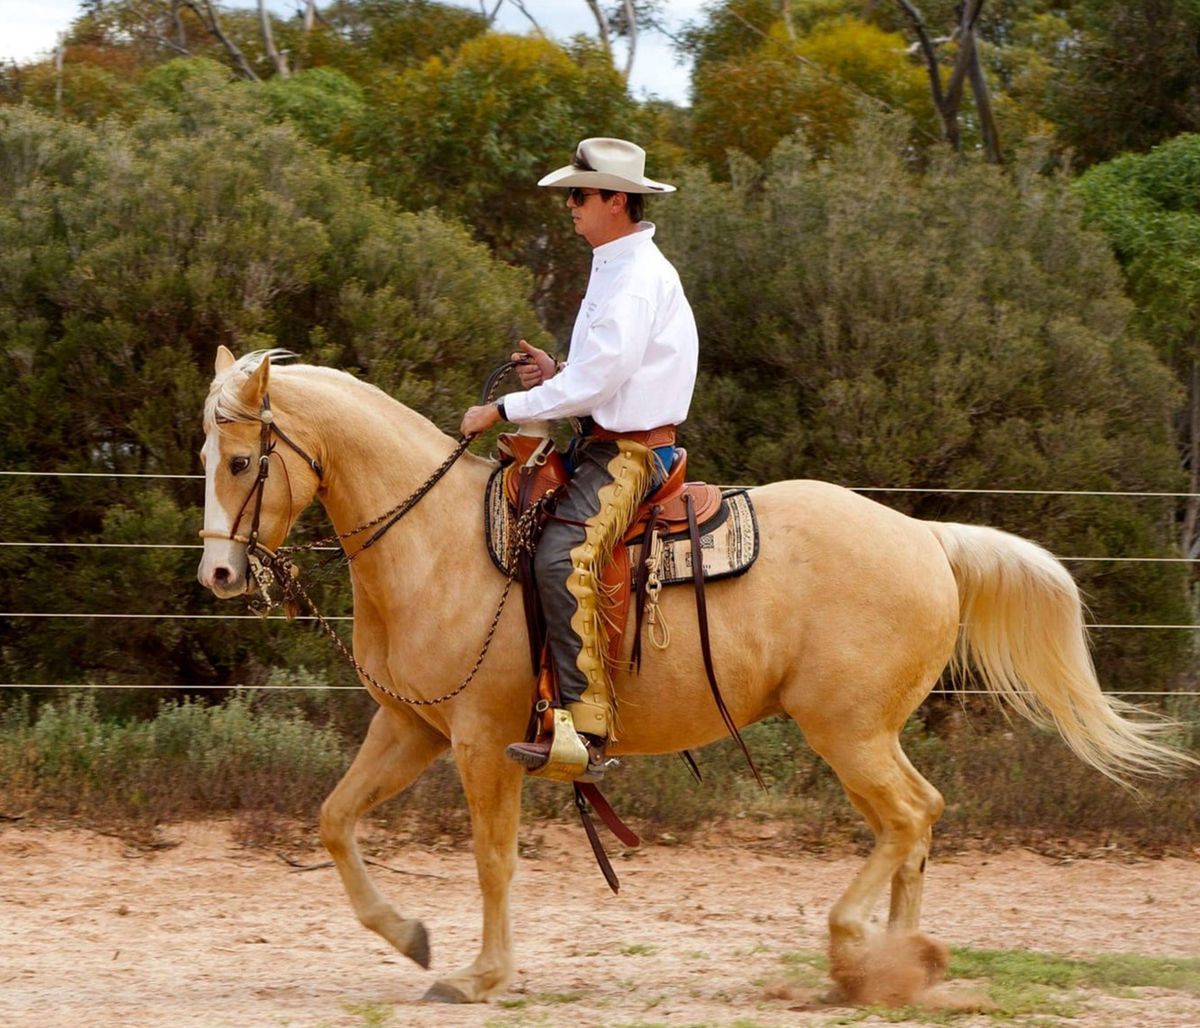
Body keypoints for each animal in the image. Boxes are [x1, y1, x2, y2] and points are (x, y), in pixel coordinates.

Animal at [199, 350, 1190, 1002]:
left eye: (244, 460)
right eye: (208, 457)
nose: (218, 574)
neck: (436, 542)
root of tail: (928, 537)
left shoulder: (483, 739)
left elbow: (492, 857)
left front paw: (482, 975)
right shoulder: (411, 727)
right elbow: (333, 822)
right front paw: (410, 938)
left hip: (848, 730)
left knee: (911, 816)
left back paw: (856, 951)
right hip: (864, 732)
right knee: (915, 822)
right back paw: (897, 964)